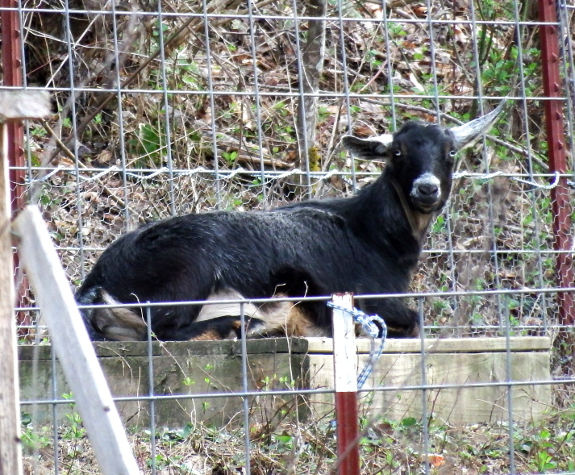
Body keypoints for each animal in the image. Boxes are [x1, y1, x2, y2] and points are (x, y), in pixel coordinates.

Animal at [77, 104, 504, 342]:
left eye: (450, 152)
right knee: (162, 332)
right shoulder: (371, 299)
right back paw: (240, 324)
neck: (372, 234)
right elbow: (413, 320)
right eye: (397, 151)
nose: (426, 188)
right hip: (190, 271)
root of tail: (98, 282)